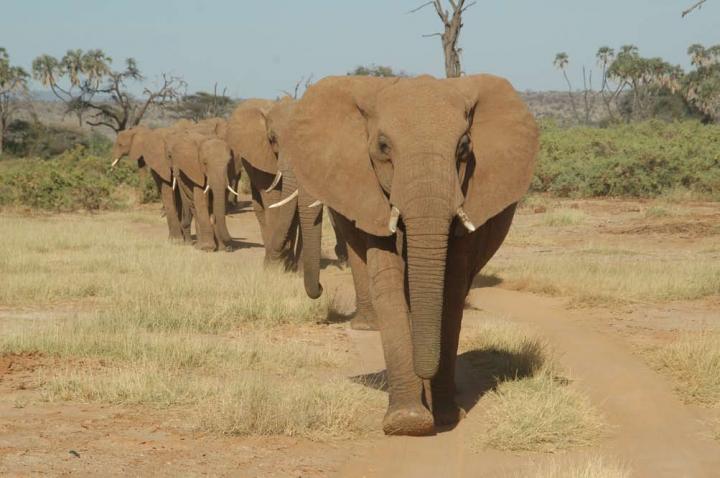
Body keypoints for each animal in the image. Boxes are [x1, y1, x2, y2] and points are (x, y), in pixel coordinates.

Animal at [166, 120, 238, 252]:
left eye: (229, 162)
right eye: (204, 163)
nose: (230, 246)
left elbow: (218, 203)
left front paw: (221, 248)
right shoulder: (196, 170)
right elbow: (201, 199)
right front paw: (207, 248)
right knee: (193, 205)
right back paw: (196, 245)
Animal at [283, 74, 539, 436]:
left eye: (464, 148)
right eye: (383, 147)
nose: (319, 290)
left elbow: (451, 288)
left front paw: (445, 417)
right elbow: (388, 282)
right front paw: (409, 423)